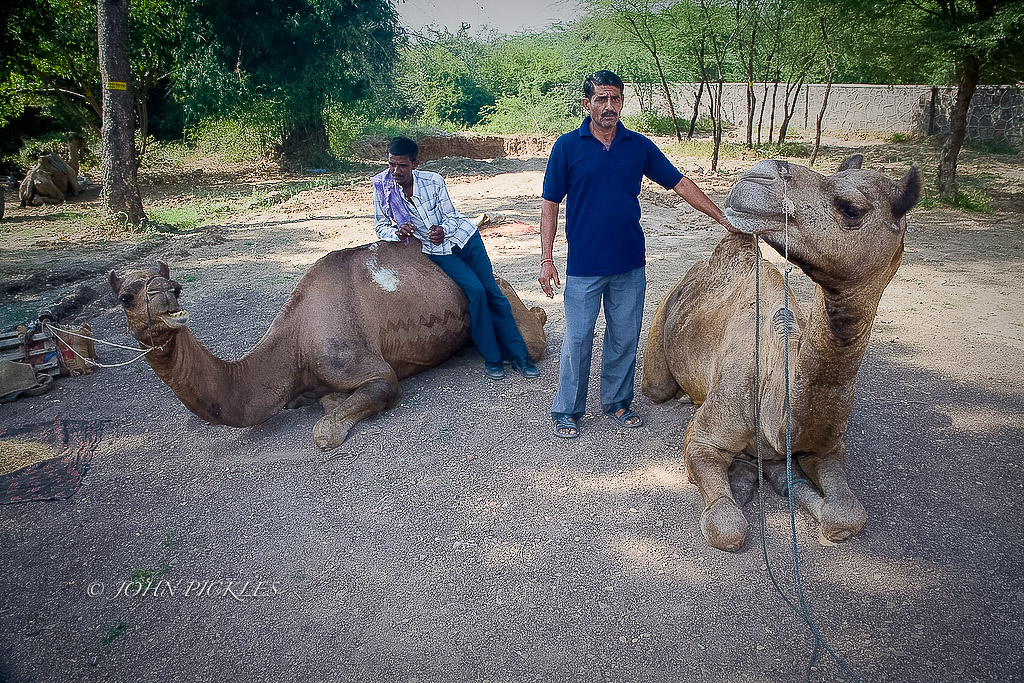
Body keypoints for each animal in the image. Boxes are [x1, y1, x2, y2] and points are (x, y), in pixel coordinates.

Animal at [108, 240, 548, 448]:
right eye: (125, 297)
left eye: (177, 287)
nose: (166, 296)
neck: (294, 346)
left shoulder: (368, 369)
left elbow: (332, 424)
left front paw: (330, 420)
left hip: (503, 295)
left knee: (532, 339)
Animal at [638, 154, 921, 548]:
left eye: (851, 208)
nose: (758, 175)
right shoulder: (701, 440)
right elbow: (728, 525)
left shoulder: (825, 448)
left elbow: (846, 515)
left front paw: (785, 483)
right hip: (660, 345)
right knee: (659, 389)